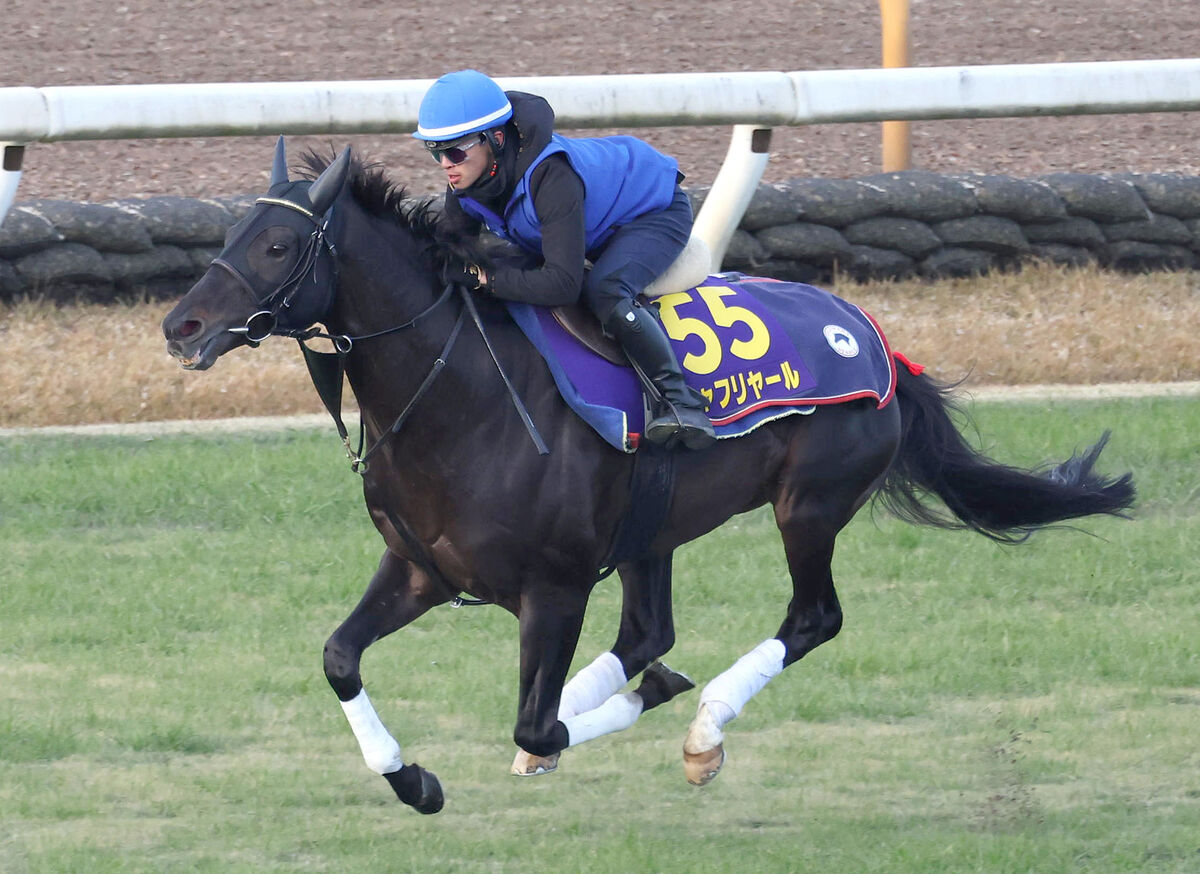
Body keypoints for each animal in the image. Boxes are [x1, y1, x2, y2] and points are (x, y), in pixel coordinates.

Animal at [159, 139, 1132, 816]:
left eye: (280, 244)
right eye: (231, 231)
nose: (180, 324)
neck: (460, 396)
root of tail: (875, 338)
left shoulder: (552, 589)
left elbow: (534, 715)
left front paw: (619, 717)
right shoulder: (420, 570)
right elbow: (339, 659)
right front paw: (414, 781)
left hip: (808, 505)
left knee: (810, 619)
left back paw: (702, 732)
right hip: (651, 528)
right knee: (646, 632)